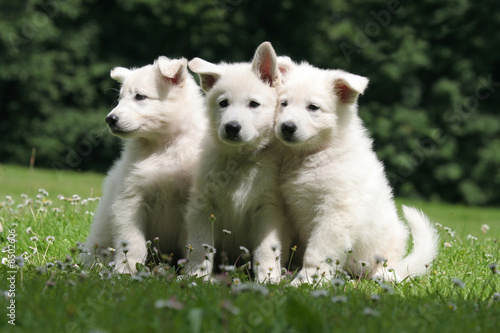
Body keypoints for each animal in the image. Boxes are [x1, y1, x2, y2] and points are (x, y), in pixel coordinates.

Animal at [81, 56, 206, 272]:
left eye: (140, 97)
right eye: (119, 99)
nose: (110, 119)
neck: (162, 146)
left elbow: (191, 244)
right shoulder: (130, 200)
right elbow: (133, 242)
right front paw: (126, 270)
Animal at [185, 40, 290, 280]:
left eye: (253, 104)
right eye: (223, 103)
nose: (232, 127)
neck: (240, 160)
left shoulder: (268, 208)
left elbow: (265, 249)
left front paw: (268, 278)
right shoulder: (203, 206)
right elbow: (200, 246)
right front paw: (196, 278)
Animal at [274, 59, 438, 282]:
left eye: (313, 107)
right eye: (283, 103)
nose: (287, 127)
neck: (315, 153)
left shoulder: (337, 212)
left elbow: (317, 253)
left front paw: (306, 282)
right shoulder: (288, 208)